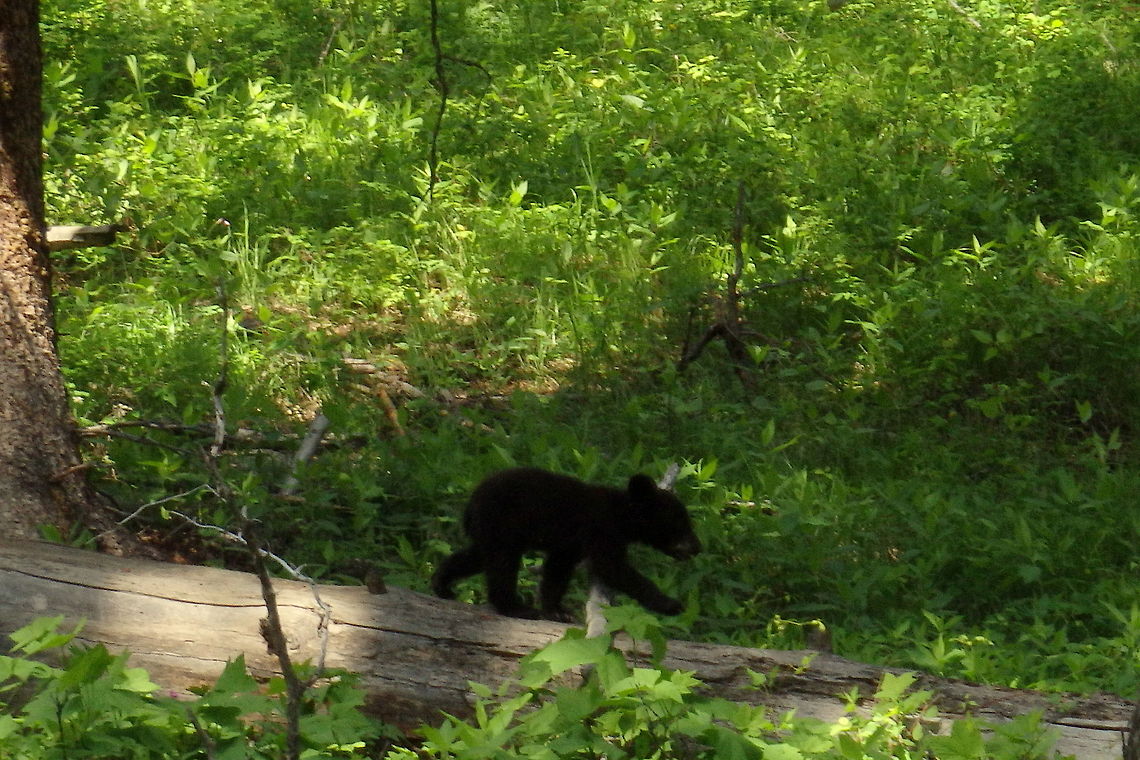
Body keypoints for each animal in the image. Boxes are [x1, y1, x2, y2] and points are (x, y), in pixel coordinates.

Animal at [431, 467, 701, 620]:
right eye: (682, 524)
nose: (698, 547)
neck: (621, 516)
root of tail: (471, 502)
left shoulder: (570, 545)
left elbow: (557, 571)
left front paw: (556, 610)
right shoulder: (601, 530)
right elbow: (612, 567)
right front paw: (669, 604)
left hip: (491, 531)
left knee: (476, 557)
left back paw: (442, 585)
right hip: (503, 523)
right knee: (502, 565)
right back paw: (516, 607)